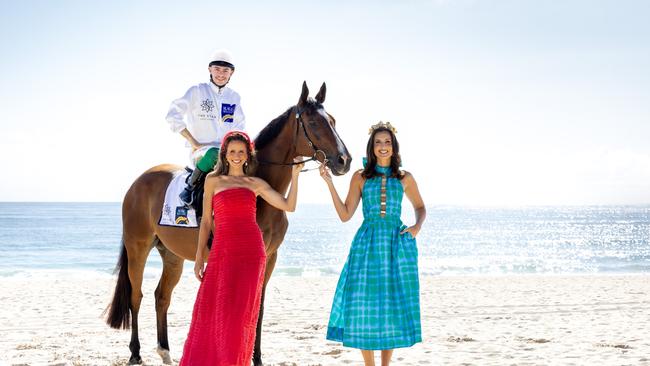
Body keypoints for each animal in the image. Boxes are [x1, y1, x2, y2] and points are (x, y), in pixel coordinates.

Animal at [105, 81, 350, 364]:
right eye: (313, 122)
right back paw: (135, 353)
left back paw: (165, 350)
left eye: (332, 120)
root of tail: (138, 182)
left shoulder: (269, 257)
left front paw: (257, 358)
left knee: (161, 296)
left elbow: (259, 309)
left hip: (172, 256)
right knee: (136, 296)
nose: (344, 161)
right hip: (138, 248)